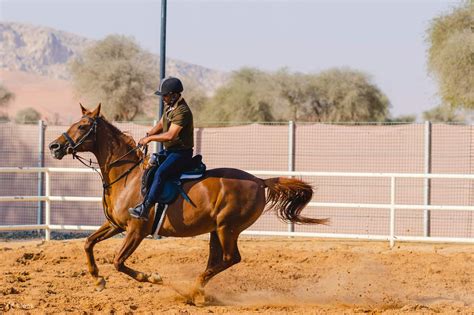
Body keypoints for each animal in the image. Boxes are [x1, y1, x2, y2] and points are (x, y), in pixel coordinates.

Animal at [49, 103, 330, 304]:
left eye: (83, 126)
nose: (54, 146)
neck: (127, 176)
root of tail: (259, 181)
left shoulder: (135, 230)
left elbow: (118, 262)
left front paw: (152, 276)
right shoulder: (115, 225)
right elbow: (88, 243)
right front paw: (98, 279)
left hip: (228, 228)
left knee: (231, 259)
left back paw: (192, 292)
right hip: (217, 231)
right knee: (217, 261)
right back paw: (197, 292)